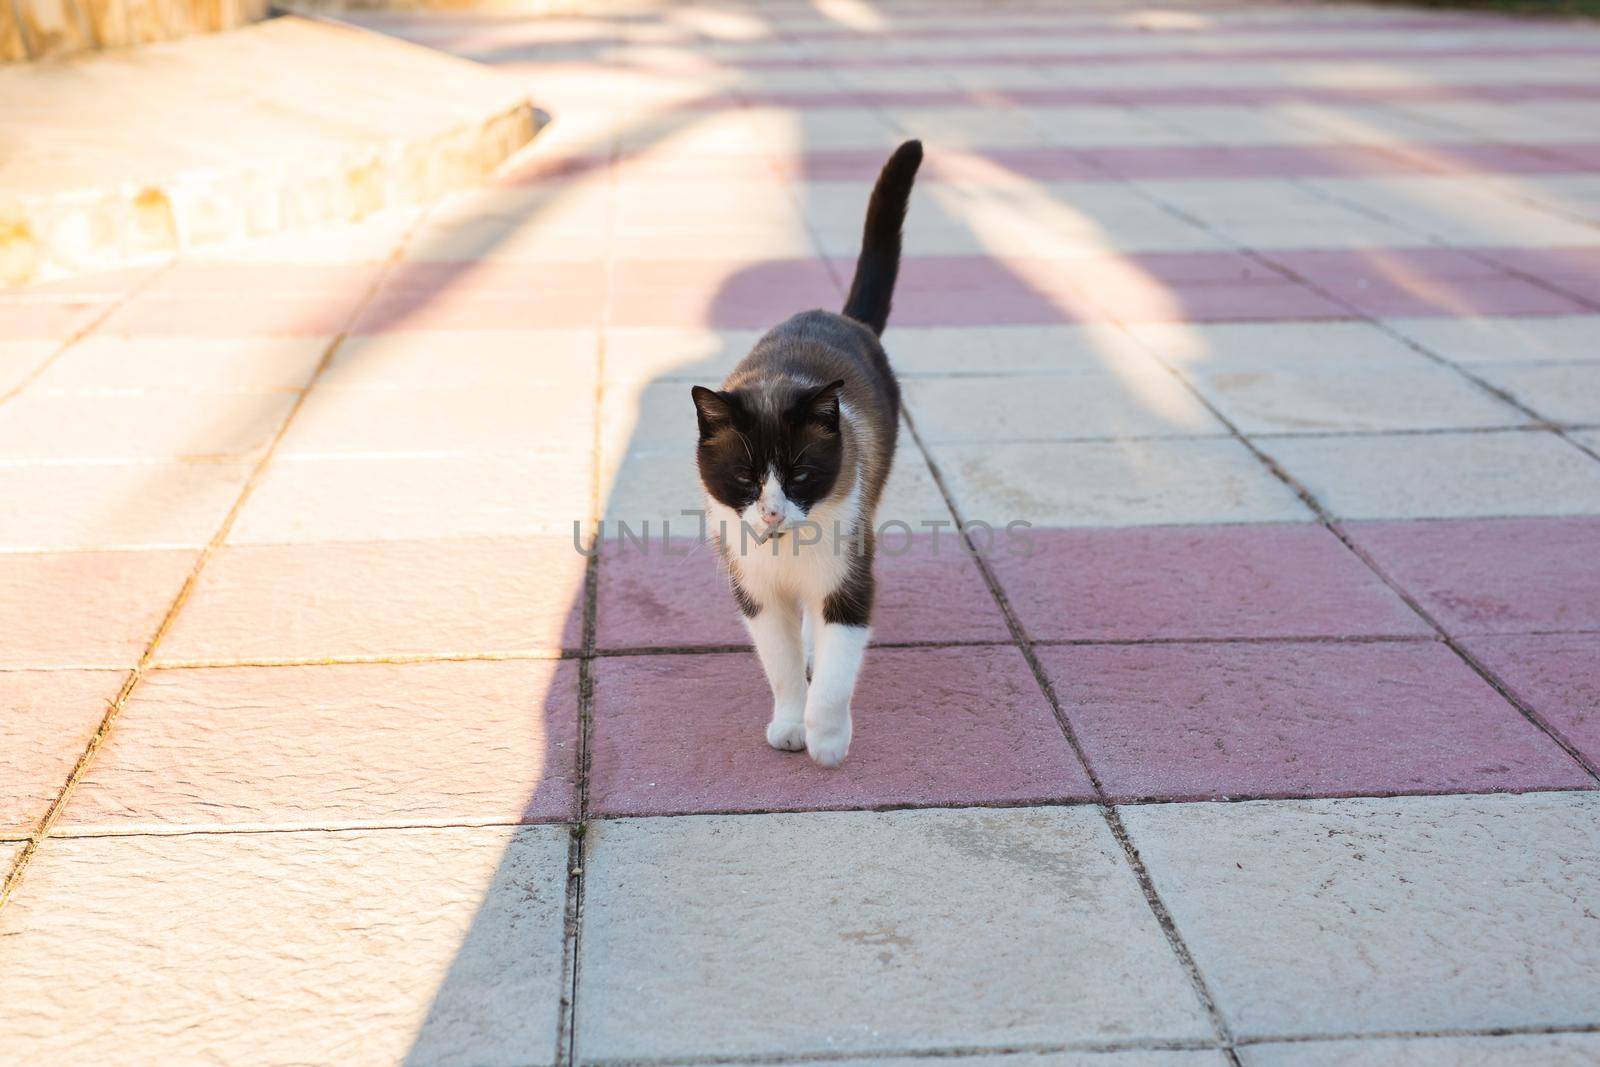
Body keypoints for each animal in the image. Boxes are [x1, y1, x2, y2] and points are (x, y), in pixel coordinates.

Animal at [691, 139, 928, 767]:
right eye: (745, 476)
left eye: (799, 474)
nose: (773, 513)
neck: (785, 551)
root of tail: (839, 316)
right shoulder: (755, 593)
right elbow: (779, 666)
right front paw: (790, 725)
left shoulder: (849, 580)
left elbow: (839, 668)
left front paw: (825, 740)